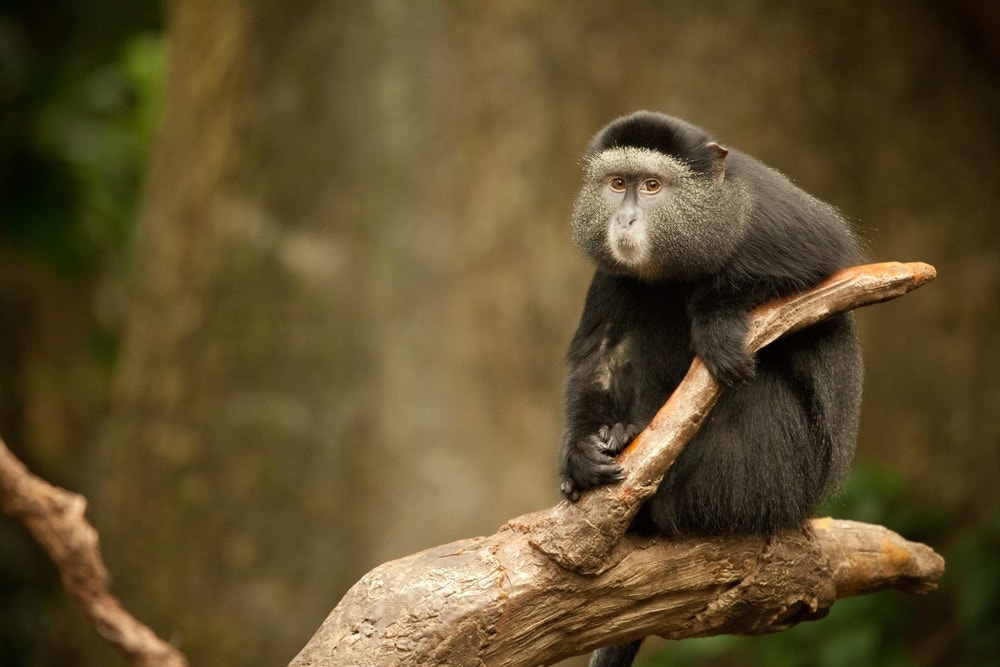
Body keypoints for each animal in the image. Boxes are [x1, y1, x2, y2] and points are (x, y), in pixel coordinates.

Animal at [558, 111, 864, 667]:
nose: (625, 221)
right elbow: (605, 356)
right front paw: (581, 451)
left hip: (773, 480)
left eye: (651, 187)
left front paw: (716, 320)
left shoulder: (773, 216)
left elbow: (824, 263)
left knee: (753, 392)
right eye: (617, 185)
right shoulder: (611, 274)